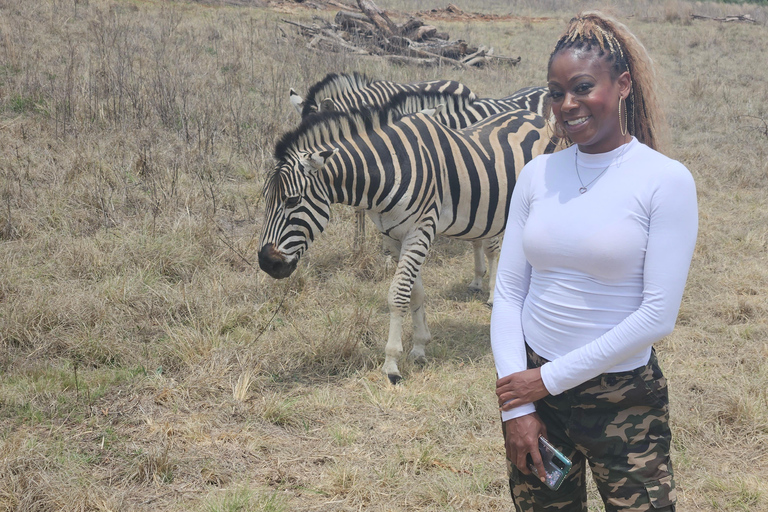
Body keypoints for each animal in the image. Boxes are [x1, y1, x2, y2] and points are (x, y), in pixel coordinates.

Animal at [260, 93, 556, 384]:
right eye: (265, 199)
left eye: (292, 200)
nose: (266, 263)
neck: (388, 169)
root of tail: (536, 116)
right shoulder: (395, 236)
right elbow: (416, 292)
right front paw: (420, 346)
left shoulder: (419, 230)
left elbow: (398, 294)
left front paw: (391, 363)